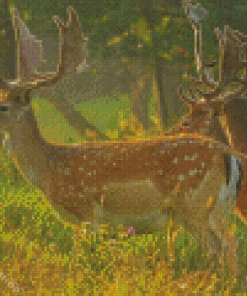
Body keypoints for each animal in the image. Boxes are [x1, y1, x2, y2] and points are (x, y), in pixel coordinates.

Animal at [0, 5, 246, 280]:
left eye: (3, 106)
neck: (49, 169)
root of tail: (230, 156)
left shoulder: (88, 211)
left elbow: (82, 260)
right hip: (219, 208)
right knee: (230, 245)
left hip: (194, 204)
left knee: (223, 247)